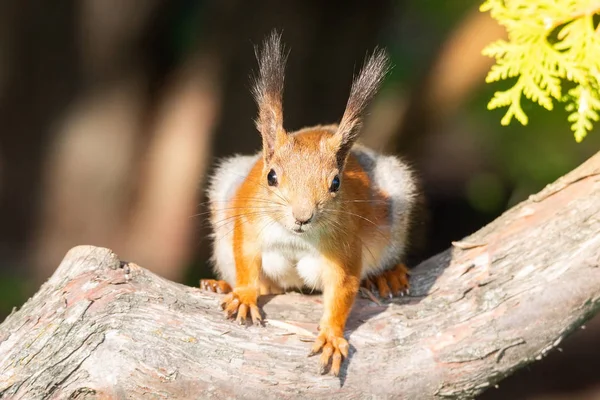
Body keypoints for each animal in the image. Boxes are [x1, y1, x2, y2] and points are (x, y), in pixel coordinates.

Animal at [202, 32, 418, 378]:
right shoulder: (249, 222)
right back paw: (220, 285)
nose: (302, 217)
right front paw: (245, 295)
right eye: (271, 176)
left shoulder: (345, 248)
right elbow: (246, 258)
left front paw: (330, 335)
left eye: (336, 183)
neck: (295, 237)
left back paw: (387, 276)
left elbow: (342, 290)